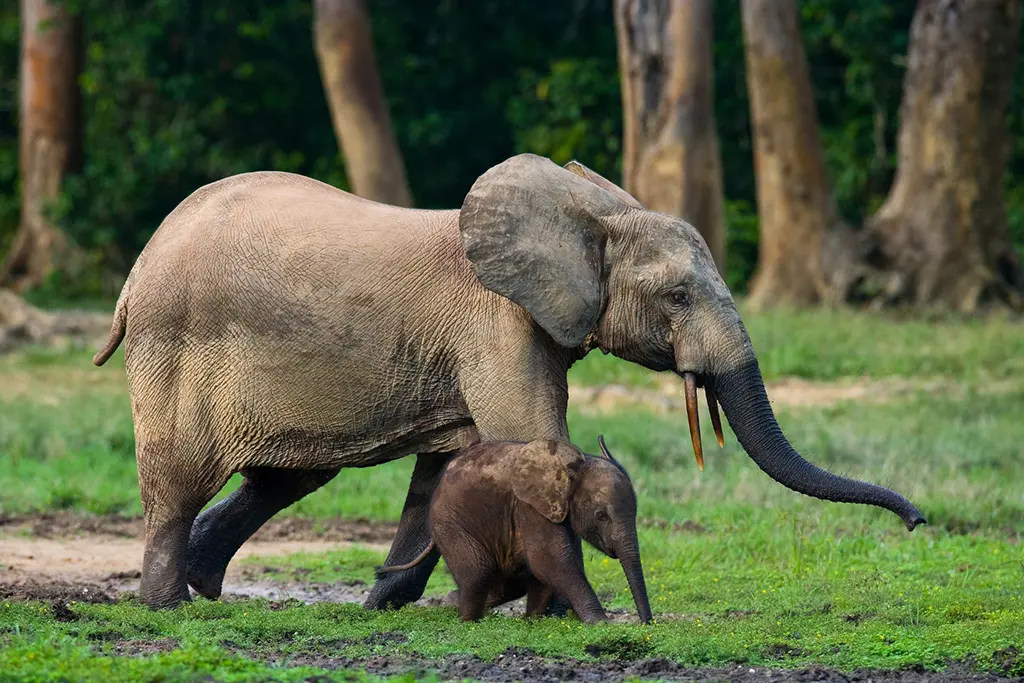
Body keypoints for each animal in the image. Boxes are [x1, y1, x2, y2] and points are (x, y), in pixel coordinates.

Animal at [376, 435, 652, 624]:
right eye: (601, 515)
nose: (647, 623)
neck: (573, 466)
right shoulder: (529, 506)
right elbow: (551, 561)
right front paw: (600, 623)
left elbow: (550, 565)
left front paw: (534, 621)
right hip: (449, 523)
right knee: (479, 572)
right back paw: (469, 620)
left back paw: (453, 600)